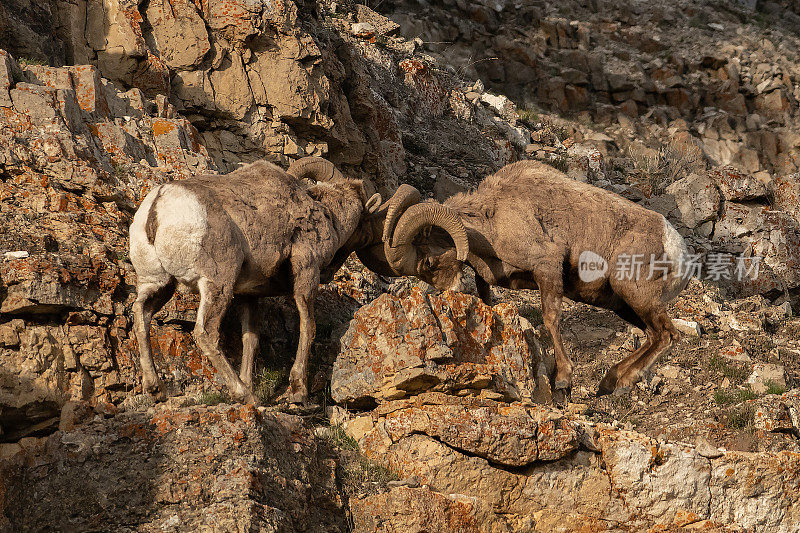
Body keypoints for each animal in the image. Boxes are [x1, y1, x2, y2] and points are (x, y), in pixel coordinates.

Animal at [132, 158, 468, 404]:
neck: (328, 215)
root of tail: (158, 208)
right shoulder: (305, 272)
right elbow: (309, 327)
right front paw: (296, 392)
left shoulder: (249, 295)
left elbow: (251, 340)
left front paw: (254, 382)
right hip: (216, 285)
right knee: (204, 333)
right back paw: (243, 396)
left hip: (157, 283)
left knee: (141, 317)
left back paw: (156, 389)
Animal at [380, 160, 688, 396]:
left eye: (429, 262)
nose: (449, 294)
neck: (495, 218)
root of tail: (677, 249)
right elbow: (487, 298)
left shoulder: (547, 268)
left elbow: (550, 319)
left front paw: (562, 379)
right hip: (623, 305)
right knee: (652, 336)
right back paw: (610, 383)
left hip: (636, 296)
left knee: (667, 335)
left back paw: (621, 382)